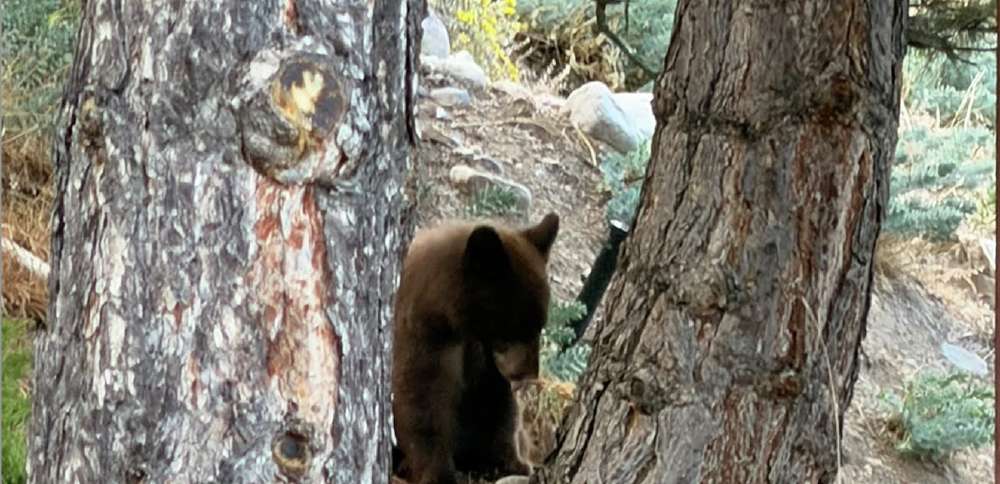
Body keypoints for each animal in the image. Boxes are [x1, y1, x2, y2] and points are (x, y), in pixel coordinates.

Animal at [391, 213, 560, 484]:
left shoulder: (485, 358)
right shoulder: (422, 337)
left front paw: (511, 463)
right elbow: (419, 401)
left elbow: (498, 403)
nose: (528, 375)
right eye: (514, 328)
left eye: (540, 327)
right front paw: (439, 473)